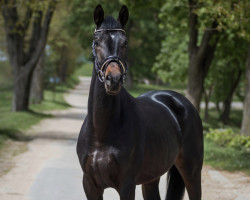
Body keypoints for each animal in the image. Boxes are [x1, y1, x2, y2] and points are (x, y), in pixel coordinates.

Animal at [77, 5, 204, 200]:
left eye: (125, 43)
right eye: (96, 41)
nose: (113, 79)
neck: (101, 132)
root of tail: (181, 102)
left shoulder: (127, 186)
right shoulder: (90, 186)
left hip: (192, 170)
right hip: (151, 178)